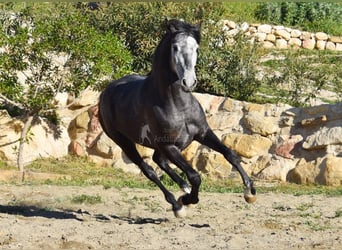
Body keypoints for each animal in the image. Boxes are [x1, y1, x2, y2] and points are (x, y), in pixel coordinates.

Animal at [97, 19, 255, 218]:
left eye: (196, 48)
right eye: (175, 47)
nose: (189, 82)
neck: (178, 106)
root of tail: (105, 92)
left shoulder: (202, 133)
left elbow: (230, 154)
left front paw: (249, 192)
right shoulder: (168, 145)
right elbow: (195, 175)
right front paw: (187, 200)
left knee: (159, 161)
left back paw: (184, 187)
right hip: (124, 142)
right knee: (149, 170)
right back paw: (177, 204)